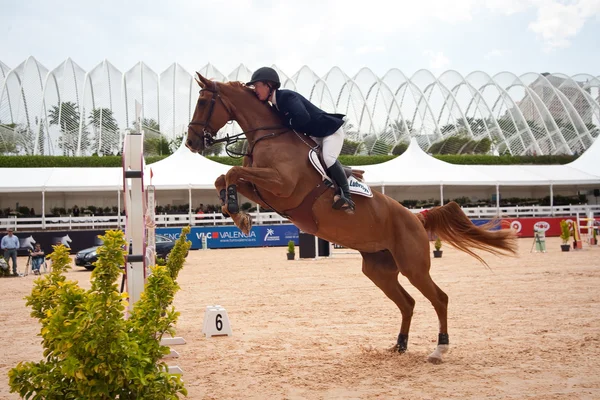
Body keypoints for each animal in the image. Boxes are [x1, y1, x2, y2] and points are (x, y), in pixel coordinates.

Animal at [185, 72, 516, 362]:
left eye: (202, 101)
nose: (190, 142)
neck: (269, 135)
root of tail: (417, 219)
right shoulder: (261, 187)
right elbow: (225, 176)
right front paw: (235, 213)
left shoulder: (283, 186)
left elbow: (231, 172)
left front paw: (235, 211)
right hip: (379, 270)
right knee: (407, 302)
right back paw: (400, 345)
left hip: (413, 266)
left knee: (440, 298)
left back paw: (439, 349)